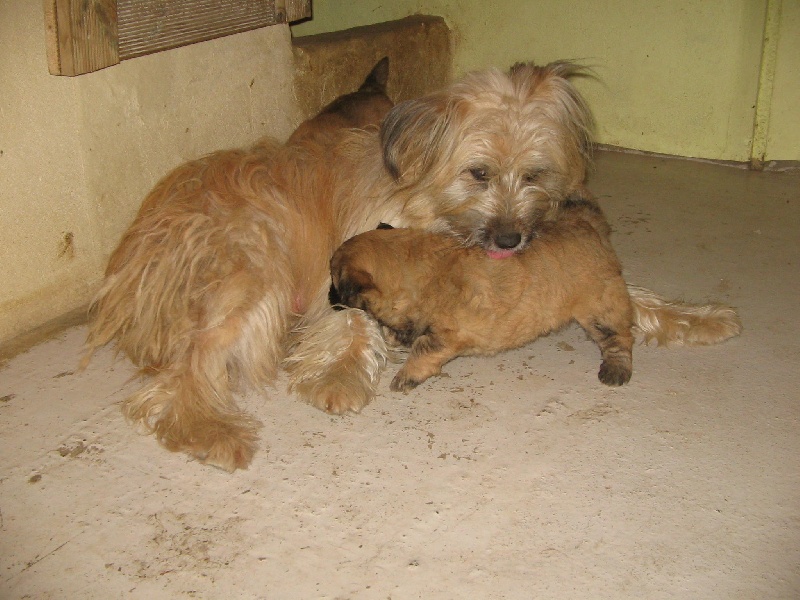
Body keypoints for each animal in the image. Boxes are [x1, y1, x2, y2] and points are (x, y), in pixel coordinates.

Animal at [84, 62, 740, 474]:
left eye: (534, 172)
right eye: (479, 172)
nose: (511, 238)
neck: (428, 196)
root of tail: (126, 271)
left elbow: (628, 294)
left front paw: (698, 317)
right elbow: (351, 319)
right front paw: (341, 376)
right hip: (252, 274)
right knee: (178, 379)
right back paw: (211, 431)